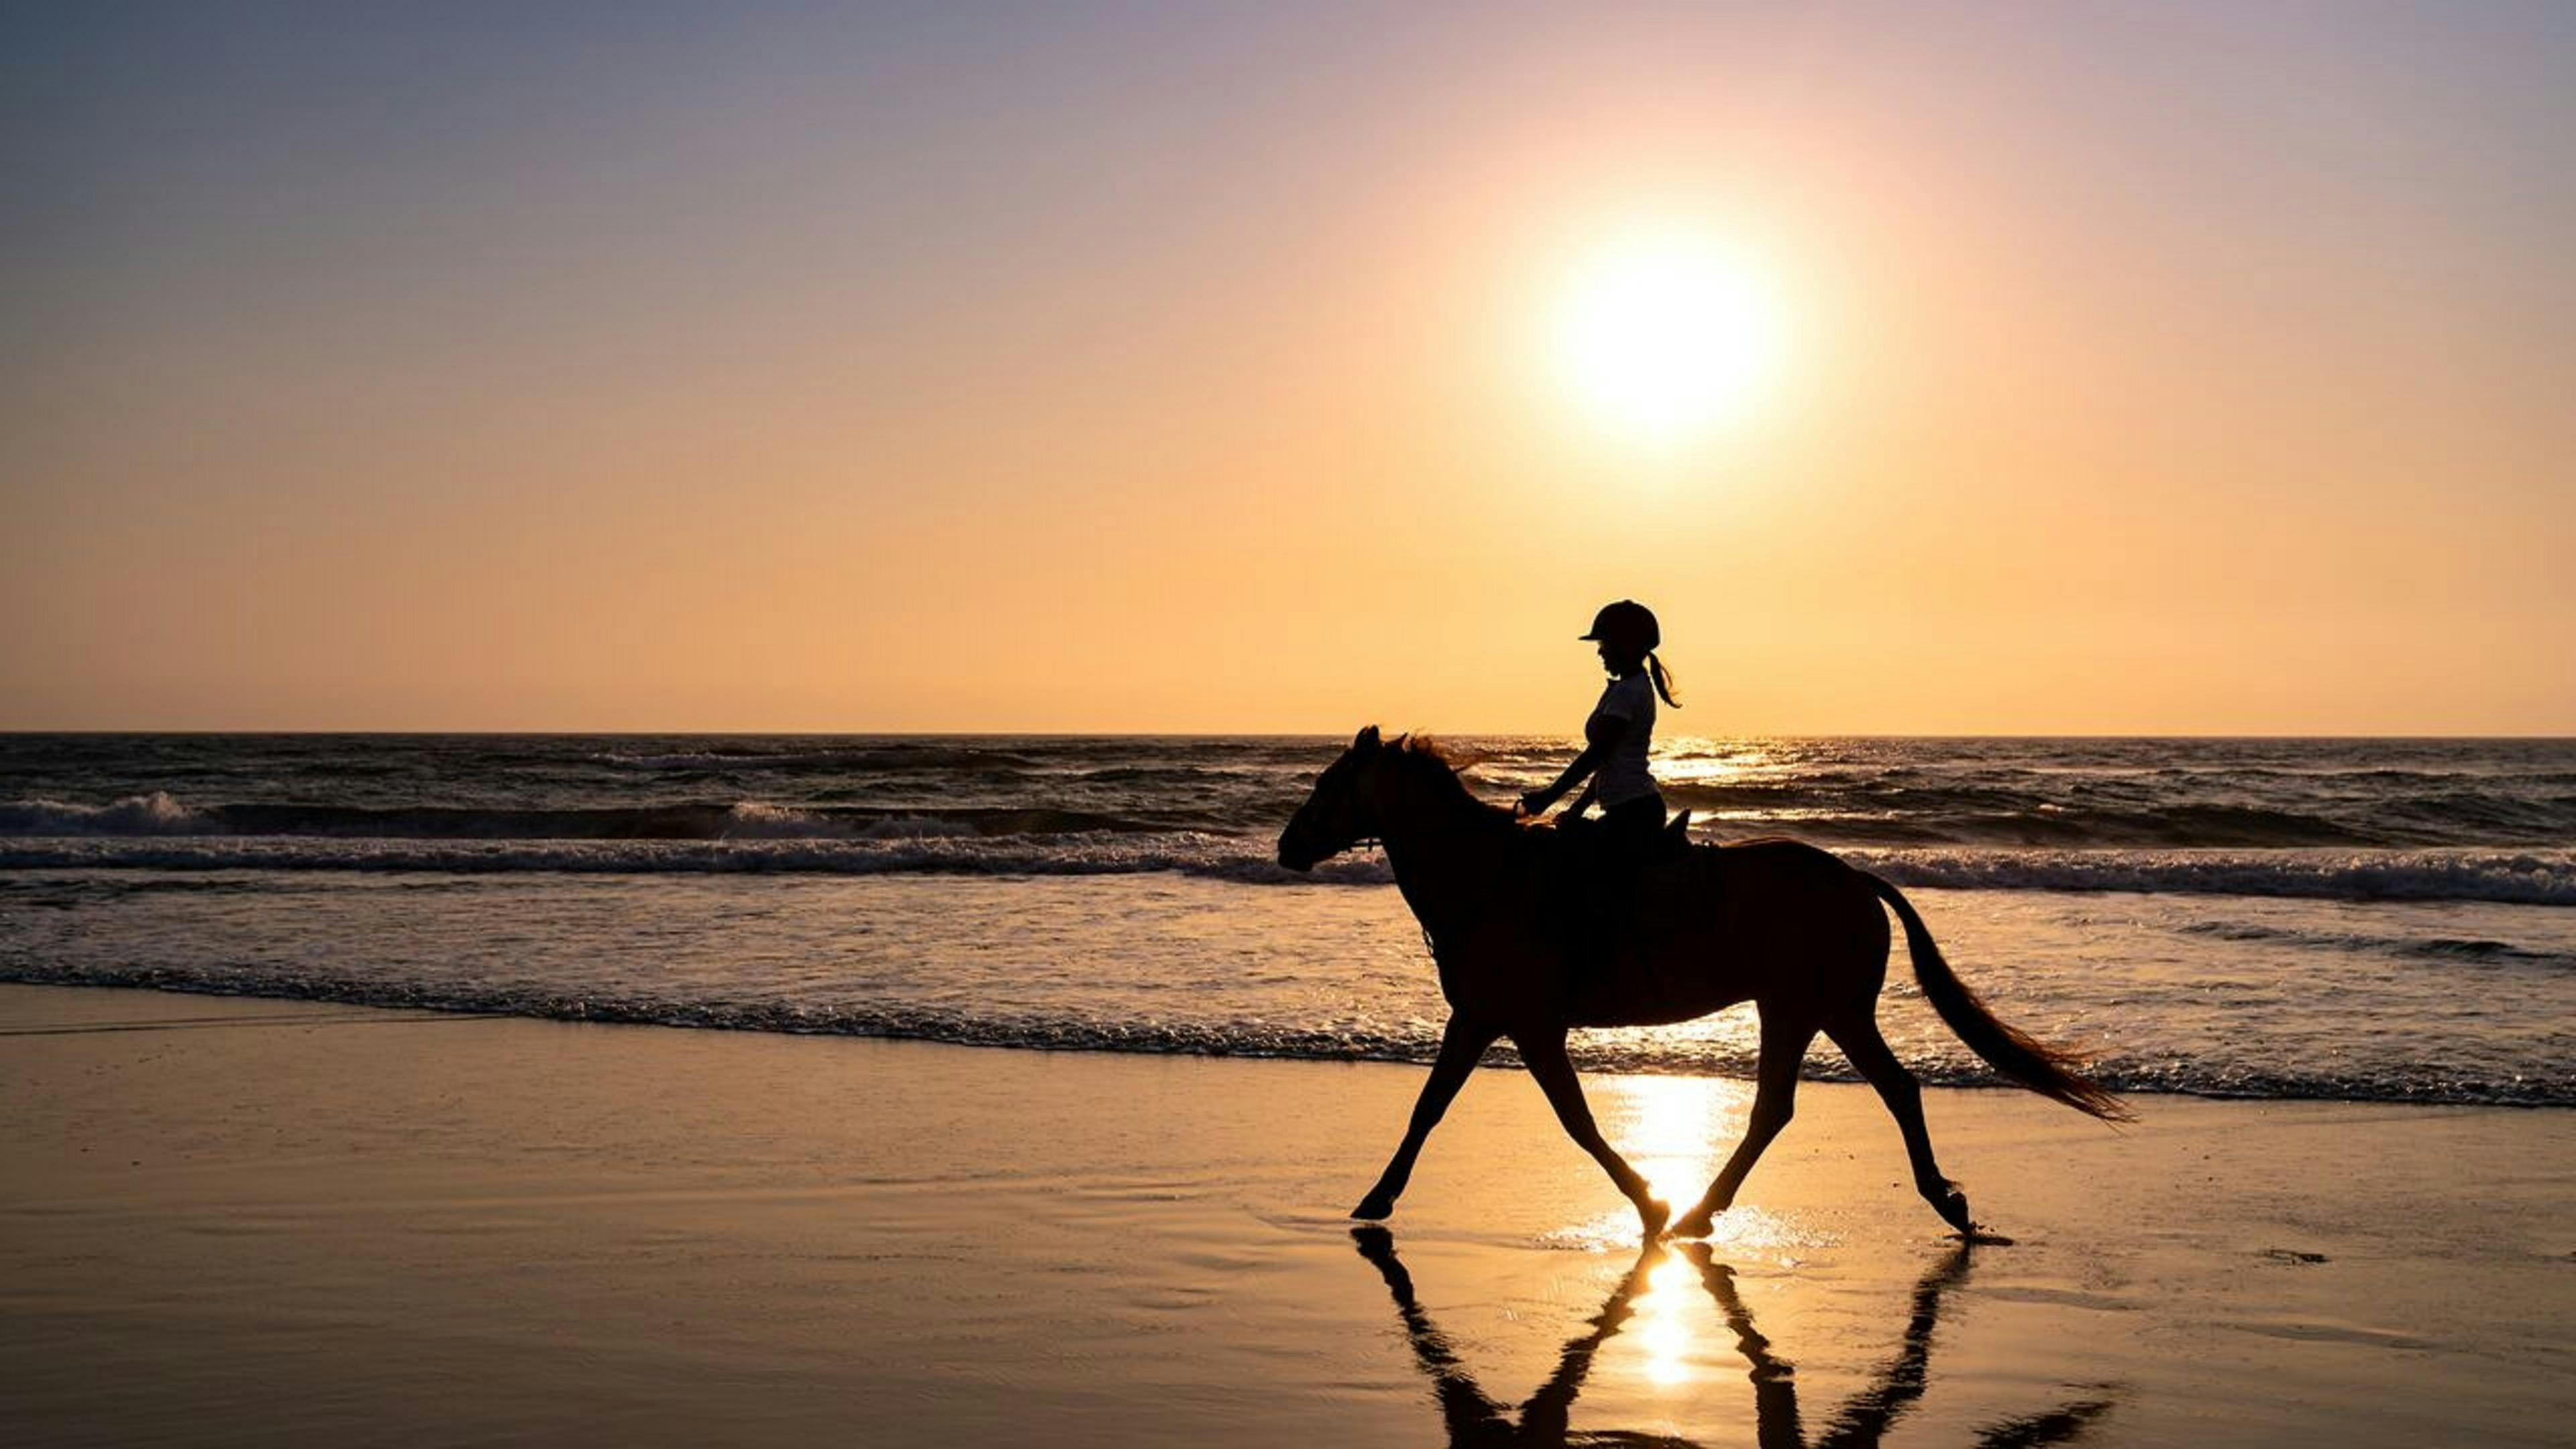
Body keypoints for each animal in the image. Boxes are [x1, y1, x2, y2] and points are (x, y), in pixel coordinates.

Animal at [1275, 727, 2129, 1239]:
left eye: (1326, 785)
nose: (1286, 847)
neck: (1489, 879)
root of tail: (1854, 878)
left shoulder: (1521, 1021)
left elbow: (1566, 1120)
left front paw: (1650, 1200)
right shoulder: (1488, 1019)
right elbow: (1433, 1109)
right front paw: (1378, 1198)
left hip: (1809, 1006)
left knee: (1805, 1103)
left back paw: (1699, 1211)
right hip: (1819, 1010)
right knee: (1863, 1093)